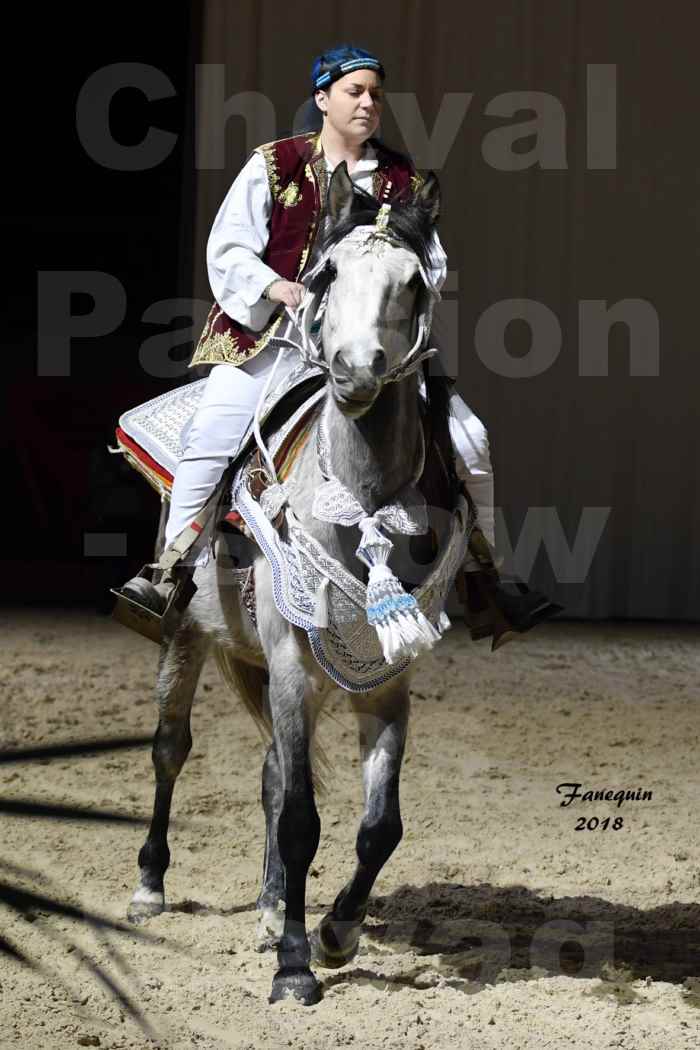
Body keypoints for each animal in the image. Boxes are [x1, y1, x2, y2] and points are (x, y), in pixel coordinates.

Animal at [127, 159, 465, 1003]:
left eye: (414, 281)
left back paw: (270, 905)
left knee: (275, 775)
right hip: (188, 634)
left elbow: (378, 825)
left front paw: (335, 931)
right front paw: (294, 967)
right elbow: (303, 820)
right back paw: (150, 886)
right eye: (325, 273)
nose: (355, 372)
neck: (361, 505)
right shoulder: (288, 663)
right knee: (171, 748)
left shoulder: (386, 681)